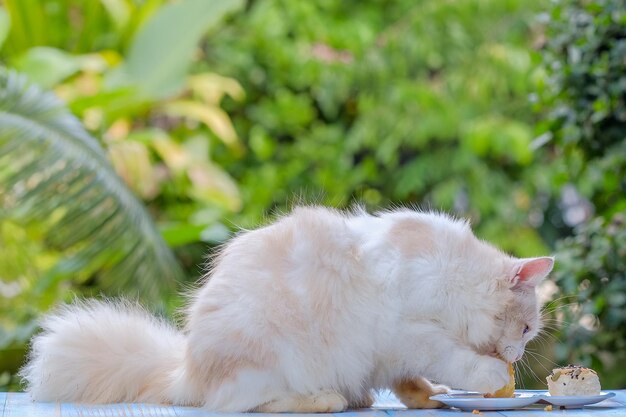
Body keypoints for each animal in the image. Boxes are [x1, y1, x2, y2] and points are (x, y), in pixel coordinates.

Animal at [20, 205, 552, 410]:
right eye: (526, 330)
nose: (518, 357)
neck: (452, 275)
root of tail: (186, 371)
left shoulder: (398, 354)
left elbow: (413, 384)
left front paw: (431, 397)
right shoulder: (412, 334)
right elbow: (454, 359)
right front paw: (486, 378)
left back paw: (357, 398)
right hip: (275, 360)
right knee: (248, 405)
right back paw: (328, 400)